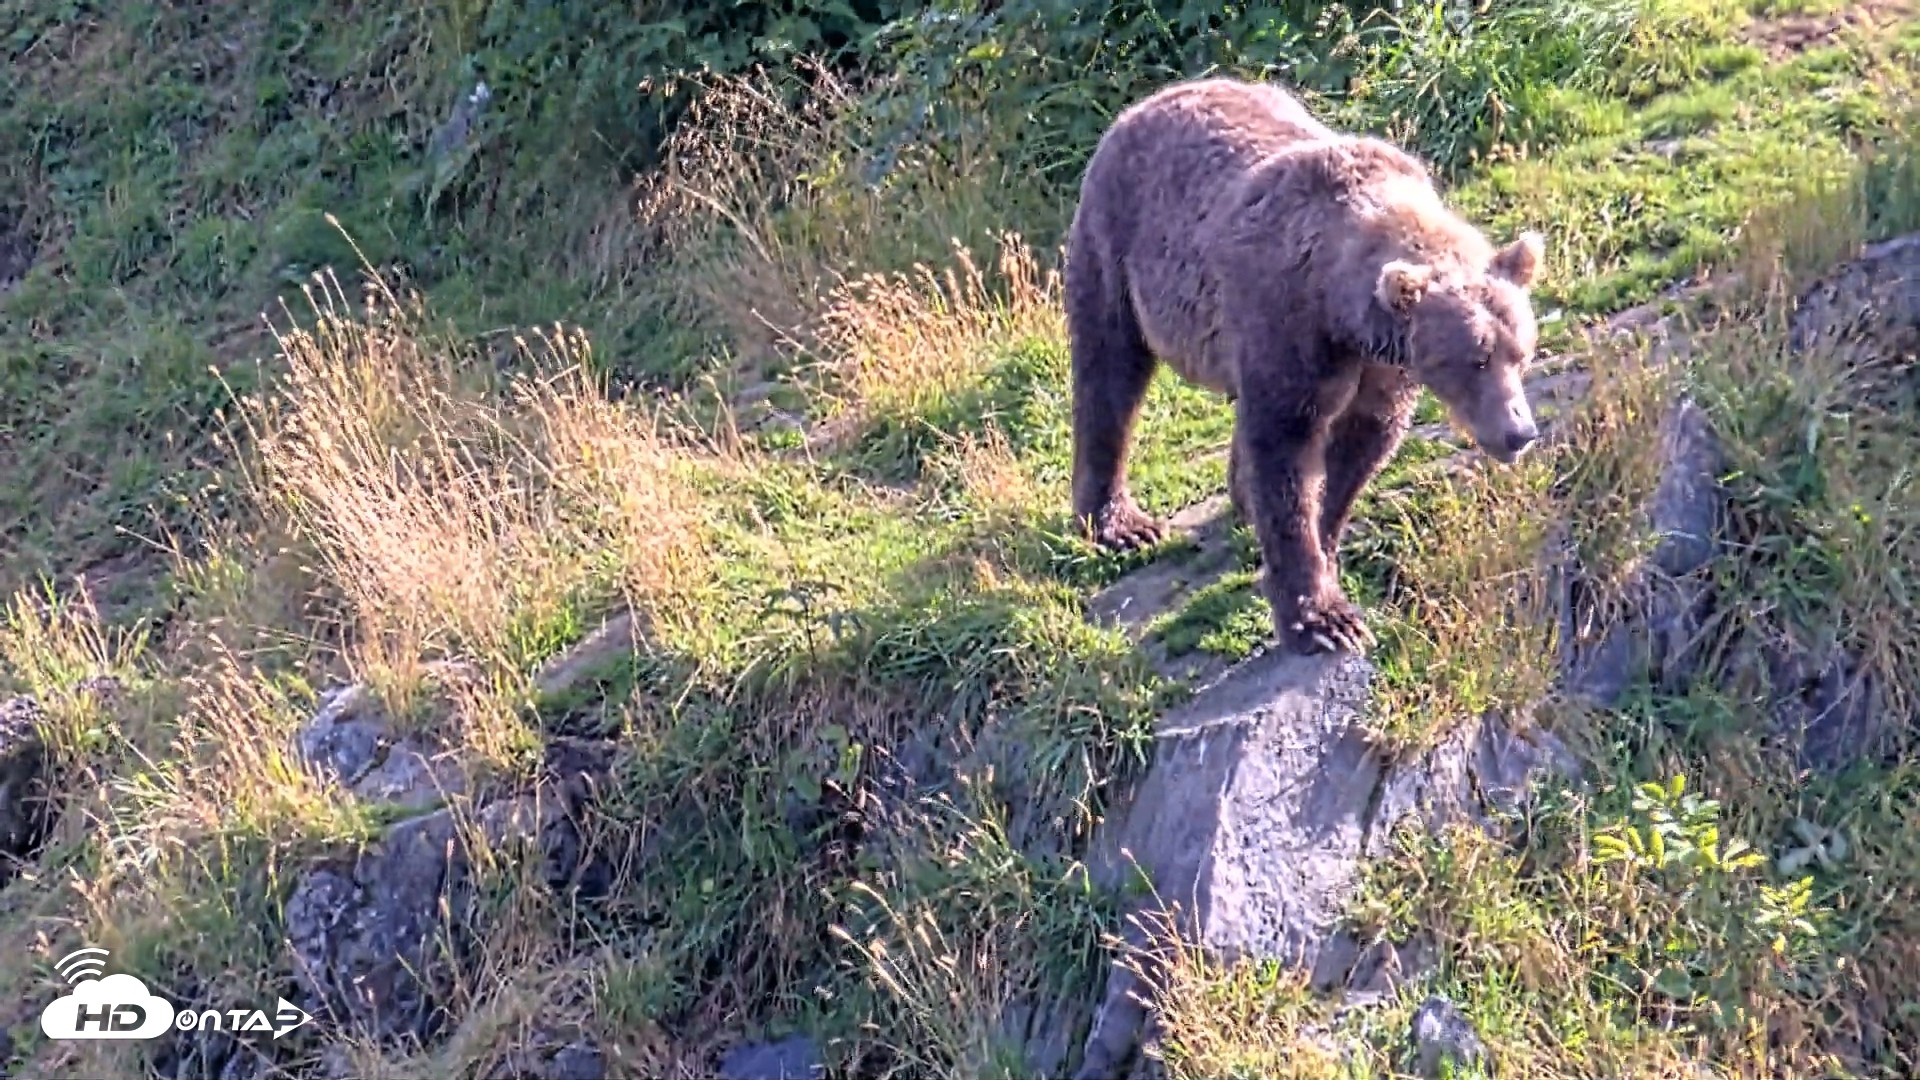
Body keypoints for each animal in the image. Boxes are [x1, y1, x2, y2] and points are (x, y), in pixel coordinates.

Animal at [1063, 76, 1547, 657]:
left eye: (1521, 352)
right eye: (1475, 359)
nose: (1519, 432)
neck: (1341, 310)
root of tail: (1149, 101)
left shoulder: (1380, 368)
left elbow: (1357, 449)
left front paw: (1326, 539)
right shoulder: (1287, 325)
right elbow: (1286, 450)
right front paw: (1321, 618)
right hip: (1117, 248)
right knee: (1110, 372)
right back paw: (1118, 522)